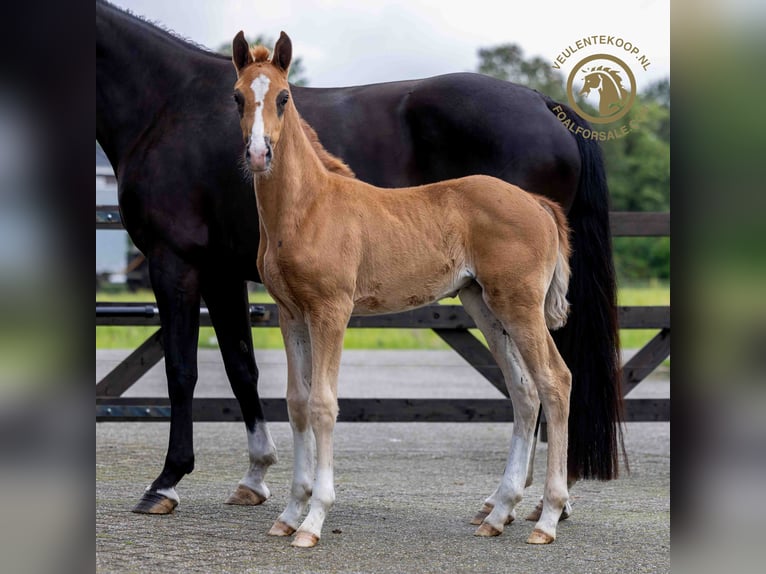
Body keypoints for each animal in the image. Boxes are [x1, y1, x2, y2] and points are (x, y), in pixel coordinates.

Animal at [231, 32, 572, 548]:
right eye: (238, 98)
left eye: (284, 97)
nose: (258, 154)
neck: (307, 208)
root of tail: (536, 203)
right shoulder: (291, 313)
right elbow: (297, 404)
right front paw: (289, 513)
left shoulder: (331, 311)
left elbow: (323, 404)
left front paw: (313, 520)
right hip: (485, 305)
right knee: (524, 391)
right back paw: (498, 513)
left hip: (520, 305)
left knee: (555, 382)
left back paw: (547, 518)